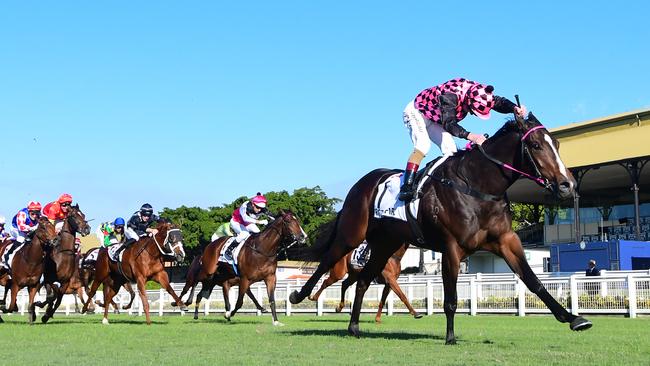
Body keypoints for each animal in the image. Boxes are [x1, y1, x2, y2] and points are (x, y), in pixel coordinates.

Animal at [288, 113, 588, 344]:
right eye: (536, 145)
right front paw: (450, 337)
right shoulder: (452, 248)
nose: (567, 185)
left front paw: (573, 318)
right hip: (353, 233)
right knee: (327, 260)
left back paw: (354, 327)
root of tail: (361, 183)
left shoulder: (506, 240)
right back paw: (299, 295)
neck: (478, 186)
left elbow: (533, 280)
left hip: (384, 245)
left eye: (556, 143)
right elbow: (451, 298)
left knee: (361, 280)